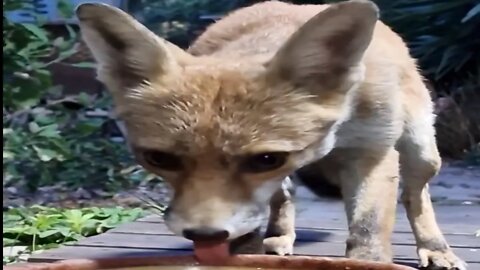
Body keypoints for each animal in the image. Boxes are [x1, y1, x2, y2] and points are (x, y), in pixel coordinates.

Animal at [78, 1, 464, 268]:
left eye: (266, 159)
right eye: (159, 159)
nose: (203, 234)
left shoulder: (371, 151)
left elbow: (367, 234)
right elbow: (244, 236)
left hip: (422, 151)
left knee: (415, 196)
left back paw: (435, 249)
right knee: (284, 196)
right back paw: (279, 237)